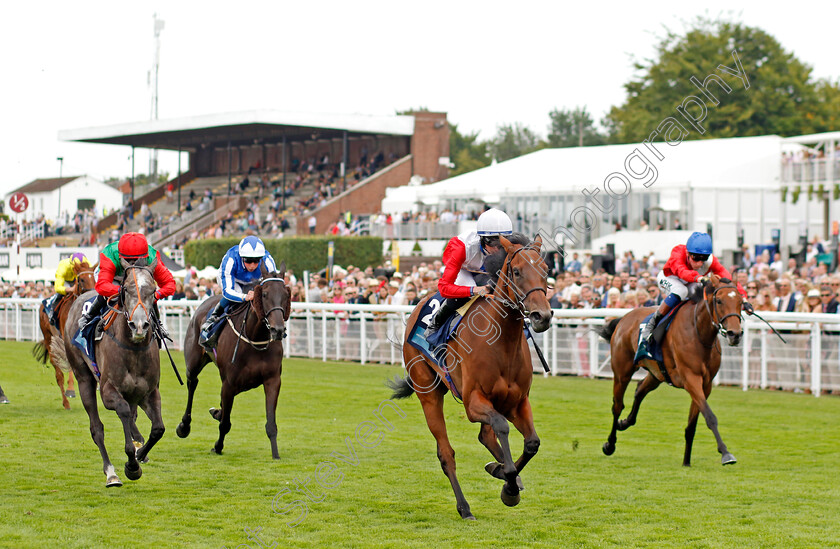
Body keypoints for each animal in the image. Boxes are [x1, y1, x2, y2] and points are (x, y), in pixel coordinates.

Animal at [32, 260, 97, 408]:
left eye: (94, 279)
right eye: (82, 279)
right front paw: (71, 390)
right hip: (48, 338)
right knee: (58, 373)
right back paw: (65, 401)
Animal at [64, 260, 166, 486]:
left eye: (153, 290)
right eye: (126, 289)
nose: (139, 326)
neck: (134, 349)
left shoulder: (150, 392)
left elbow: (158, 429)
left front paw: (139, 454)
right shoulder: (108, 391)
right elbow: (123, 412)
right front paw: (132, 465)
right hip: (84, 378)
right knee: (97, 428)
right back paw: (111, 473)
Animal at [176, 262, 290, 458]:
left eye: (285, 295)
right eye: (265, 294)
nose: (278, 330)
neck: (255, 337)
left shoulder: (272, 380)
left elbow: (271, 424)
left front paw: (275, 454)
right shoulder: (229, 382)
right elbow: (225, 424)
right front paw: (218, 446)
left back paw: (216, 411)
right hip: (194, 362)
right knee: (192, 383)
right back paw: (184, 426)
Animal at [390, 234, 556, 520]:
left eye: (546, 270)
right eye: (516, 271)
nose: (541, 316)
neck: (501, 342)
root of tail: (419, 303)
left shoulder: (517, 401)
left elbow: (532, 442)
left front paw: (506, 478)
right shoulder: (473, 402)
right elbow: (501, 427)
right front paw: (508, 484)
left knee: (486, 436)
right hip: (429, 394)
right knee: (446, 453)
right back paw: (464, 507)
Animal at [596, 274, 740, 466]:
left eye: (741, 301)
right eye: (719, 301)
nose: (735, 334)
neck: (698, 333)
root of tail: (625, 318)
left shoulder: (705, 384)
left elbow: (692, 425)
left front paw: (686, 461)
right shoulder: (691, 379)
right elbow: (710, 417)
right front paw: (725, 453)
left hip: (657, 373)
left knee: (640, 390)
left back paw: (624, 422)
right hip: (622, 372)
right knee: (617, 405)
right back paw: (610, 444)